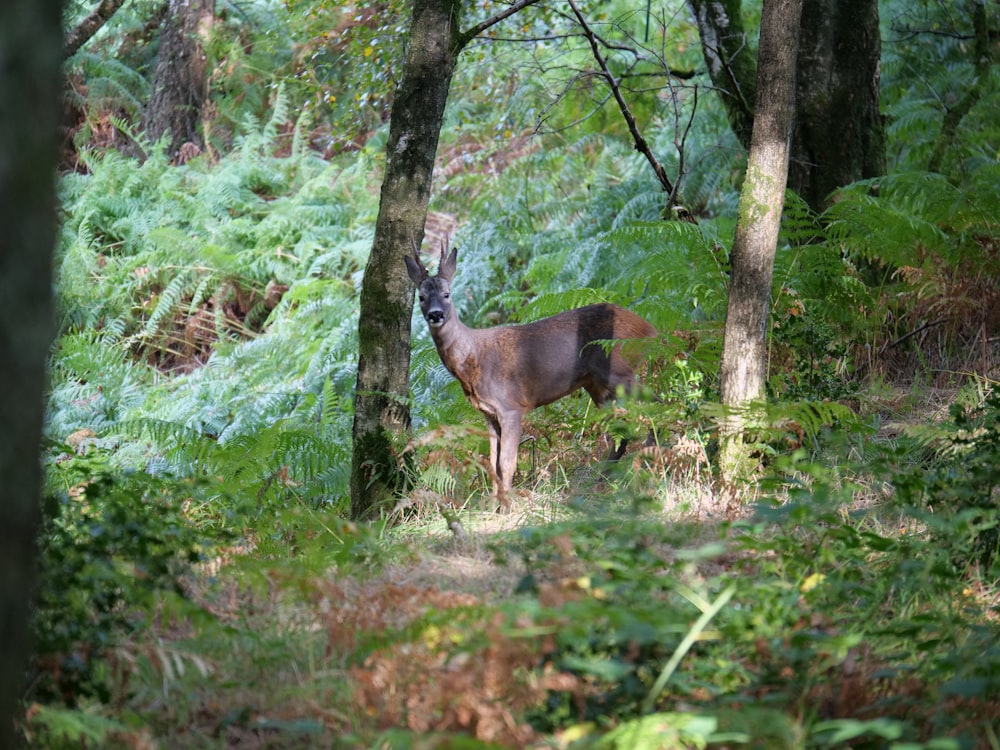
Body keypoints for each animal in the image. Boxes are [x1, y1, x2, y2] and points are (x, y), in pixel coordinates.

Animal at [406, 242, 656, 512]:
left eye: (447, 294)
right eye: (421, 297)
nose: (435, 314)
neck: (472, 360)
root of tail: (648, 328)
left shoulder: (511, 407)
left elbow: (506, 462)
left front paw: (507, 508)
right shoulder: (489, 415)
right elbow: (492, 462)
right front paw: (492, 506)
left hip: (619, 370)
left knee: (654, 404)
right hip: (597, 385)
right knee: (620, 432)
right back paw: (602, 480)